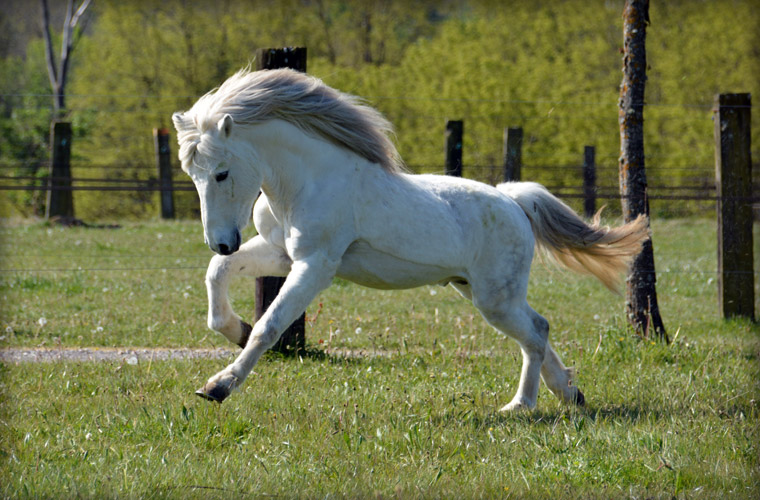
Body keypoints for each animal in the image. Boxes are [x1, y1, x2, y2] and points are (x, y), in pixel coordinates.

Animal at [172, 68, 648, 412]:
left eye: (221, 173)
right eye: (191, 174)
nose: (221, 241)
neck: (307, 181)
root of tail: (513, 201)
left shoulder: (316, 266)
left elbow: (270, 326)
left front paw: (218, 387)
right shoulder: (281, 254)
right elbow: (218, 276)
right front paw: (233, 328)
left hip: (494, 297)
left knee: (534, 333)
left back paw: (520, 406)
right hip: (477, 289)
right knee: (539, 328)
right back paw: (568, 392)